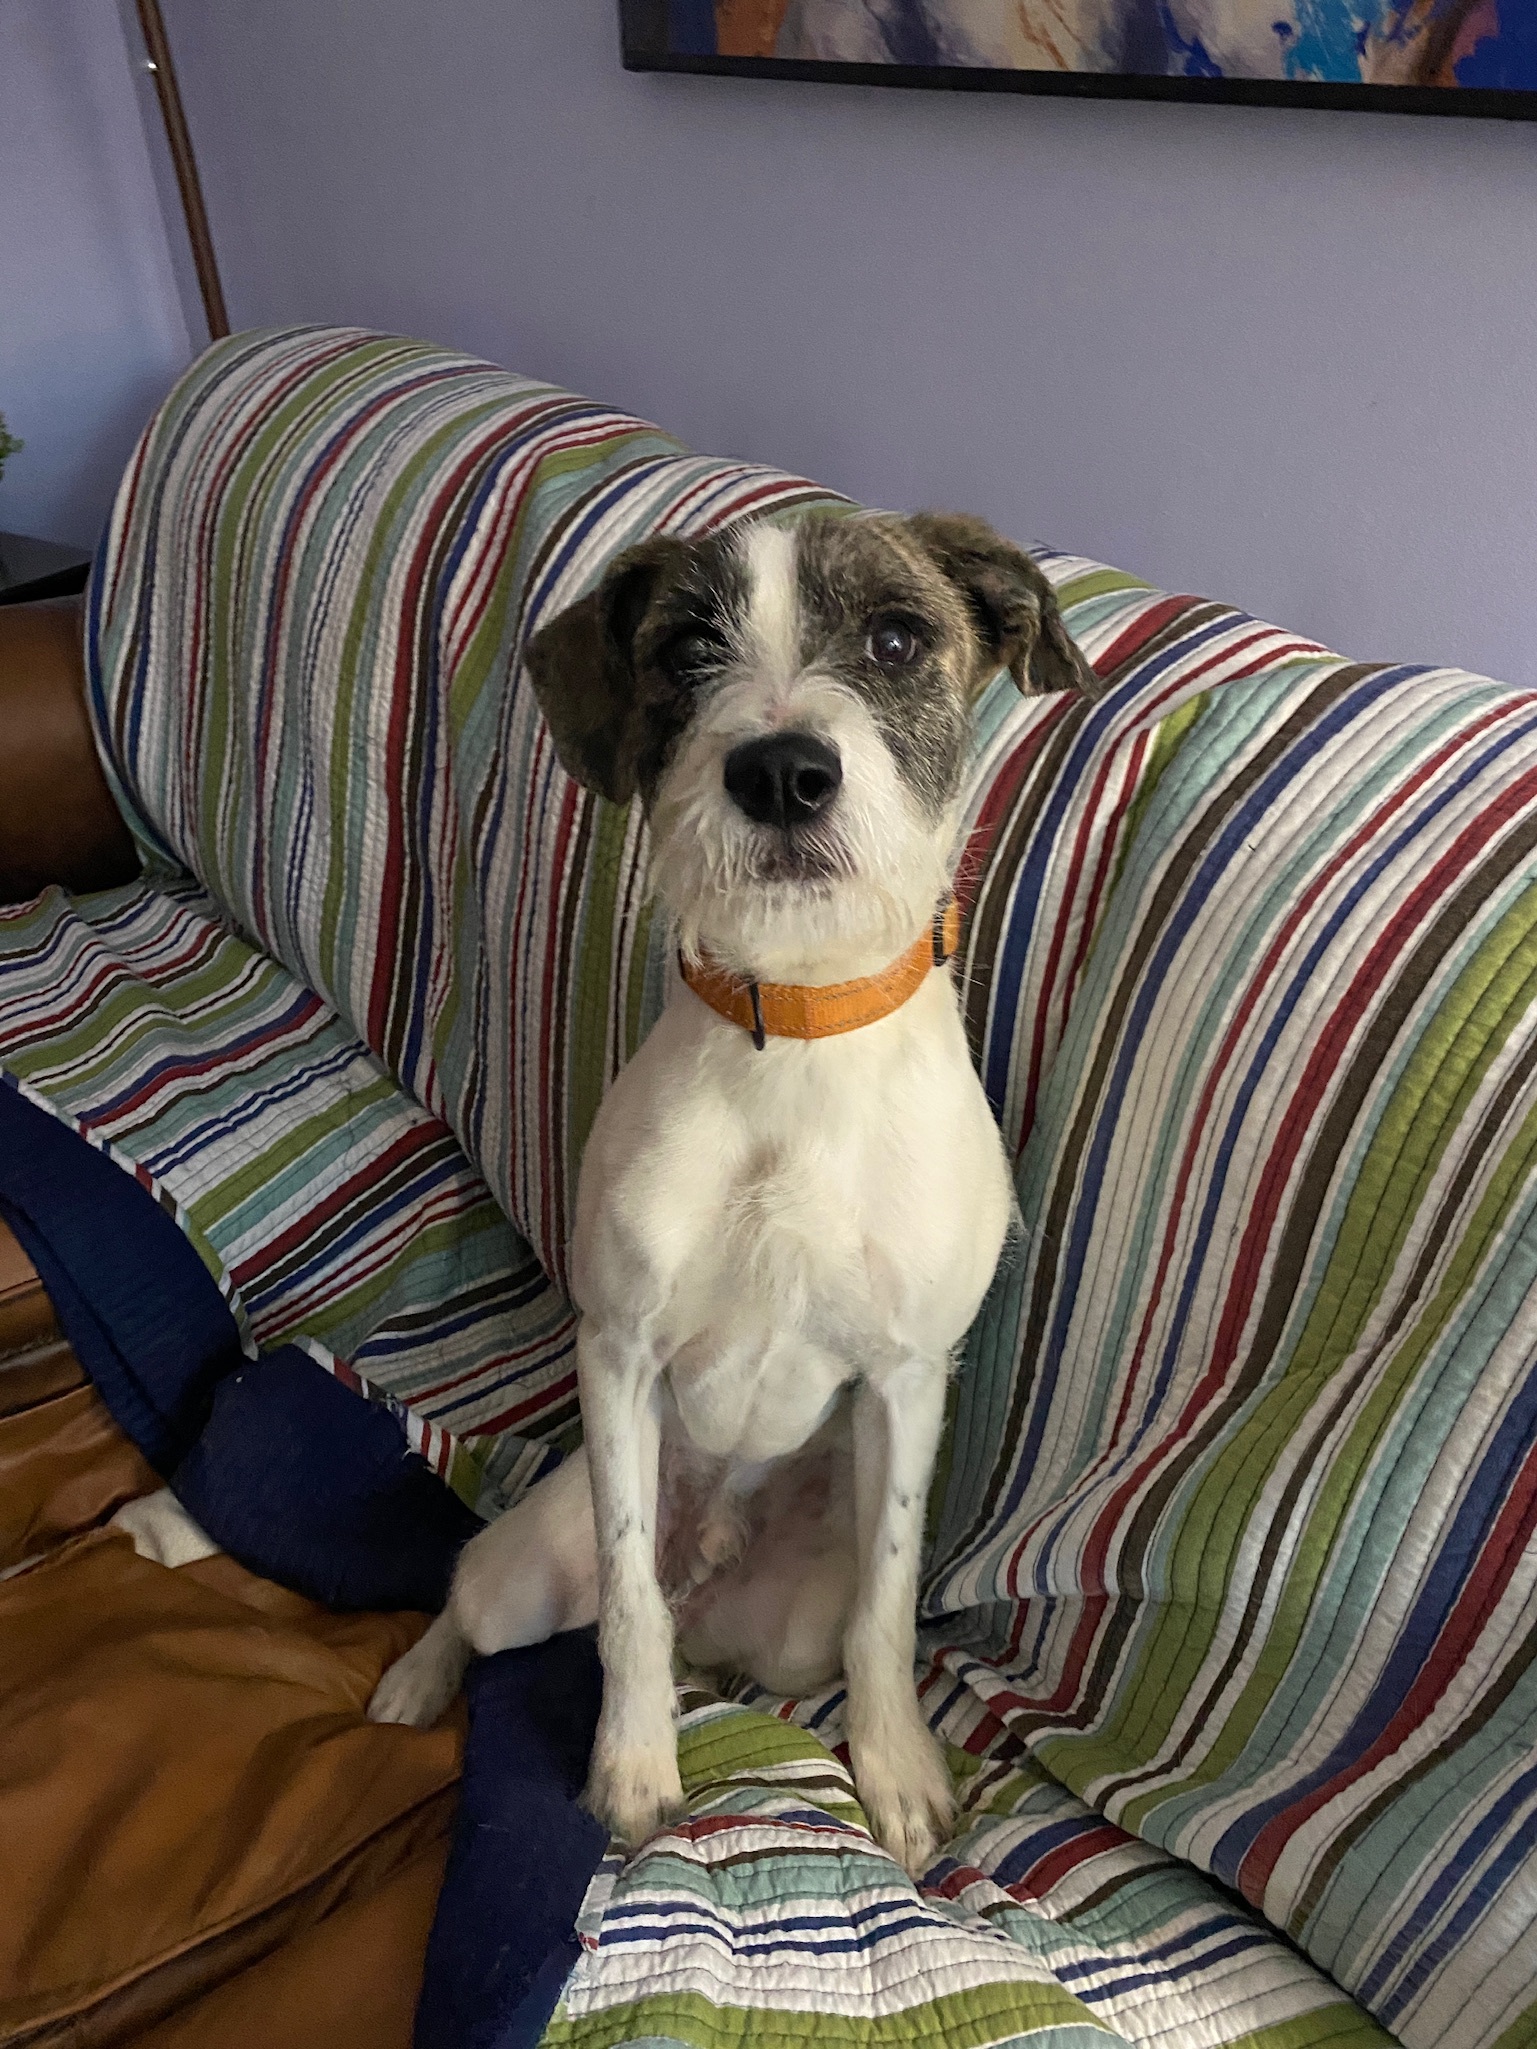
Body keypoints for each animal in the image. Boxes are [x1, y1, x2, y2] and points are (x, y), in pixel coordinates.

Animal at [368, 508, 1098, 1876]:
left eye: (895, 637)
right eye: (683, 650)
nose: (781, 772)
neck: (798, 1028)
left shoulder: (906, 1379)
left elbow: (885, 1607)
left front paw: (898, 1772)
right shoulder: (616, 1353)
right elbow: (626, 1611)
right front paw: (634, 1764)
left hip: (787, 1630)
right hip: (533, 1564)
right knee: (485, 1595)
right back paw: (425, 1678)